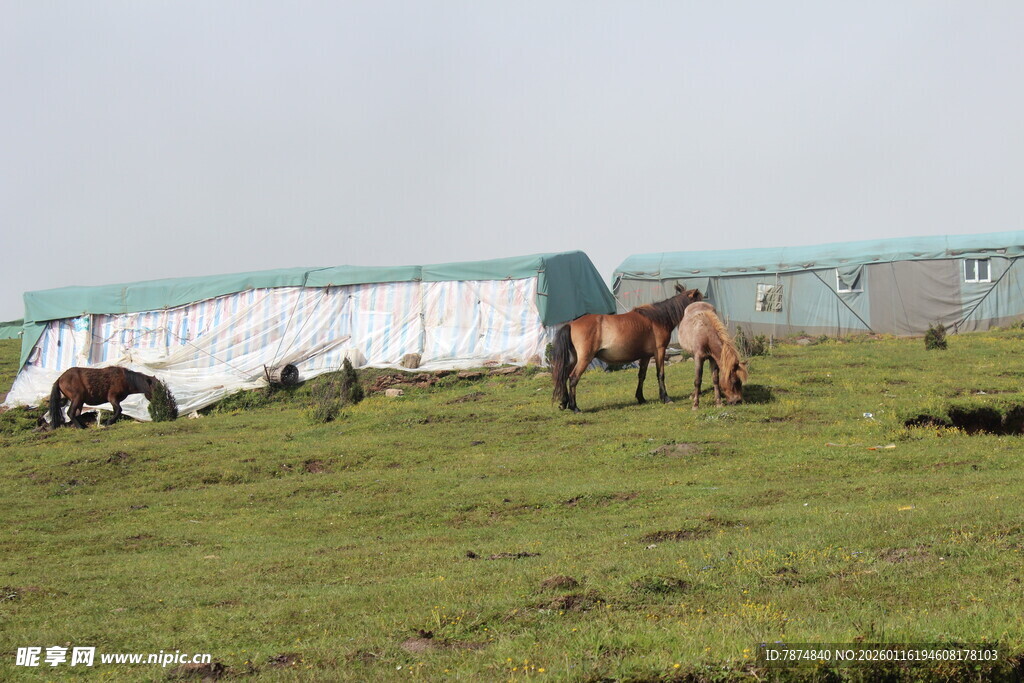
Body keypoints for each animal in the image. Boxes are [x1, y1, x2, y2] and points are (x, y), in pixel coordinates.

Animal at [551, 284, 703, 412]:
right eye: (699, 302)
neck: (658, 318)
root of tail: (571, 324)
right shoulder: (659, 350)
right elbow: (660, 374)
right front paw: (665, 398)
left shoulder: (646, 356)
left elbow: (642, 375)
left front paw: (641, 398)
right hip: (585, 358)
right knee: (573, 378)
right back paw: (574, 407)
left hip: (575, 359)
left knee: (564, 376)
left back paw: (564, 403)